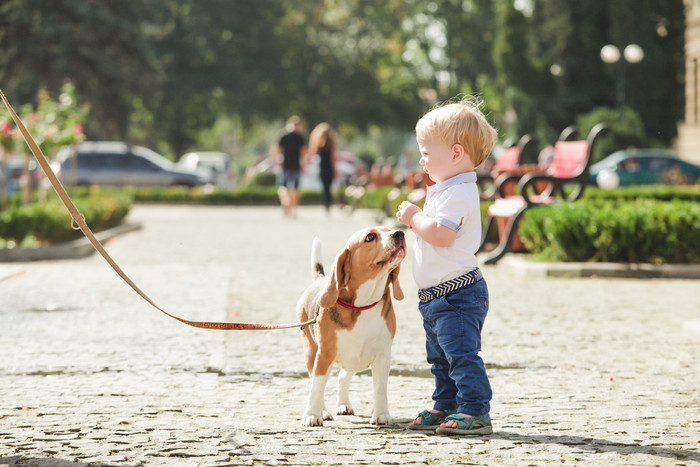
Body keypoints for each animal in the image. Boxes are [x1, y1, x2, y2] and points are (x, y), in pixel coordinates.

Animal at [298, 227, 408, 428]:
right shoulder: (324, 354)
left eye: (389, 230)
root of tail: (320, 279)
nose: (399, 234)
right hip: (312, 352)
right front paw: (311, 415)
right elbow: (317, 387)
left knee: (342, 377)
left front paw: (381, 414)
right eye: (370, 237)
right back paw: (323, 411)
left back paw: (344, 405)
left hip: (355, 359)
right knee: (314, 382)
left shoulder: (383, 355)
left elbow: (380, 388)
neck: (364, 304)